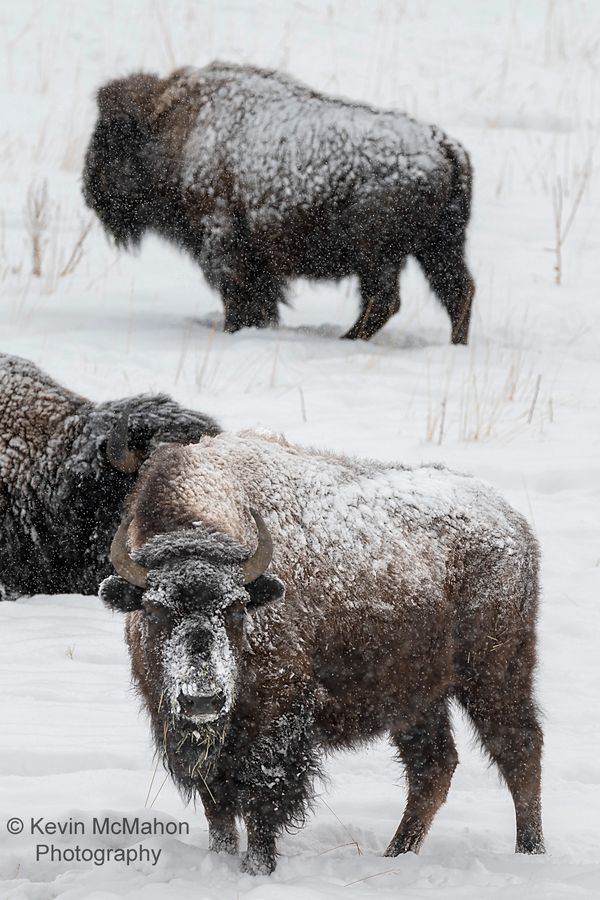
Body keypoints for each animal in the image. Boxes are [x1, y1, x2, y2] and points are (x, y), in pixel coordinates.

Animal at [84, 62, 476, 344]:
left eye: (108, 136)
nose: (89, 193)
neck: (179, 130)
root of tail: (443, 145)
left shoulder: (222, 240)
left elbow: (239, 293)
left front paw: (236, 330)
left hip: (377, 254)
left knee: (386, 300)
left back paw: (347, 339)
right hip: (437, 248)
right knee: (458, 292)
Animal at [102, 432, 544, 876]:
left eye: (237, 608)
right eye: (154, 610)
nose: (202, 699)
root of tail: (513, 524)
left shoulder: (275, 725)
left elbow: (262, 803)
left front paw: (257, 868)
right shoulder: (199, 740)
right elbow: (219, 810)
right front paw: (222, 857)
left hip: (494, 673)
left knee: (519, 750)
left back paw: (530, 851)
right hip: (416, 698)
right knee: (433, 767)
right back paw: (397, 853)